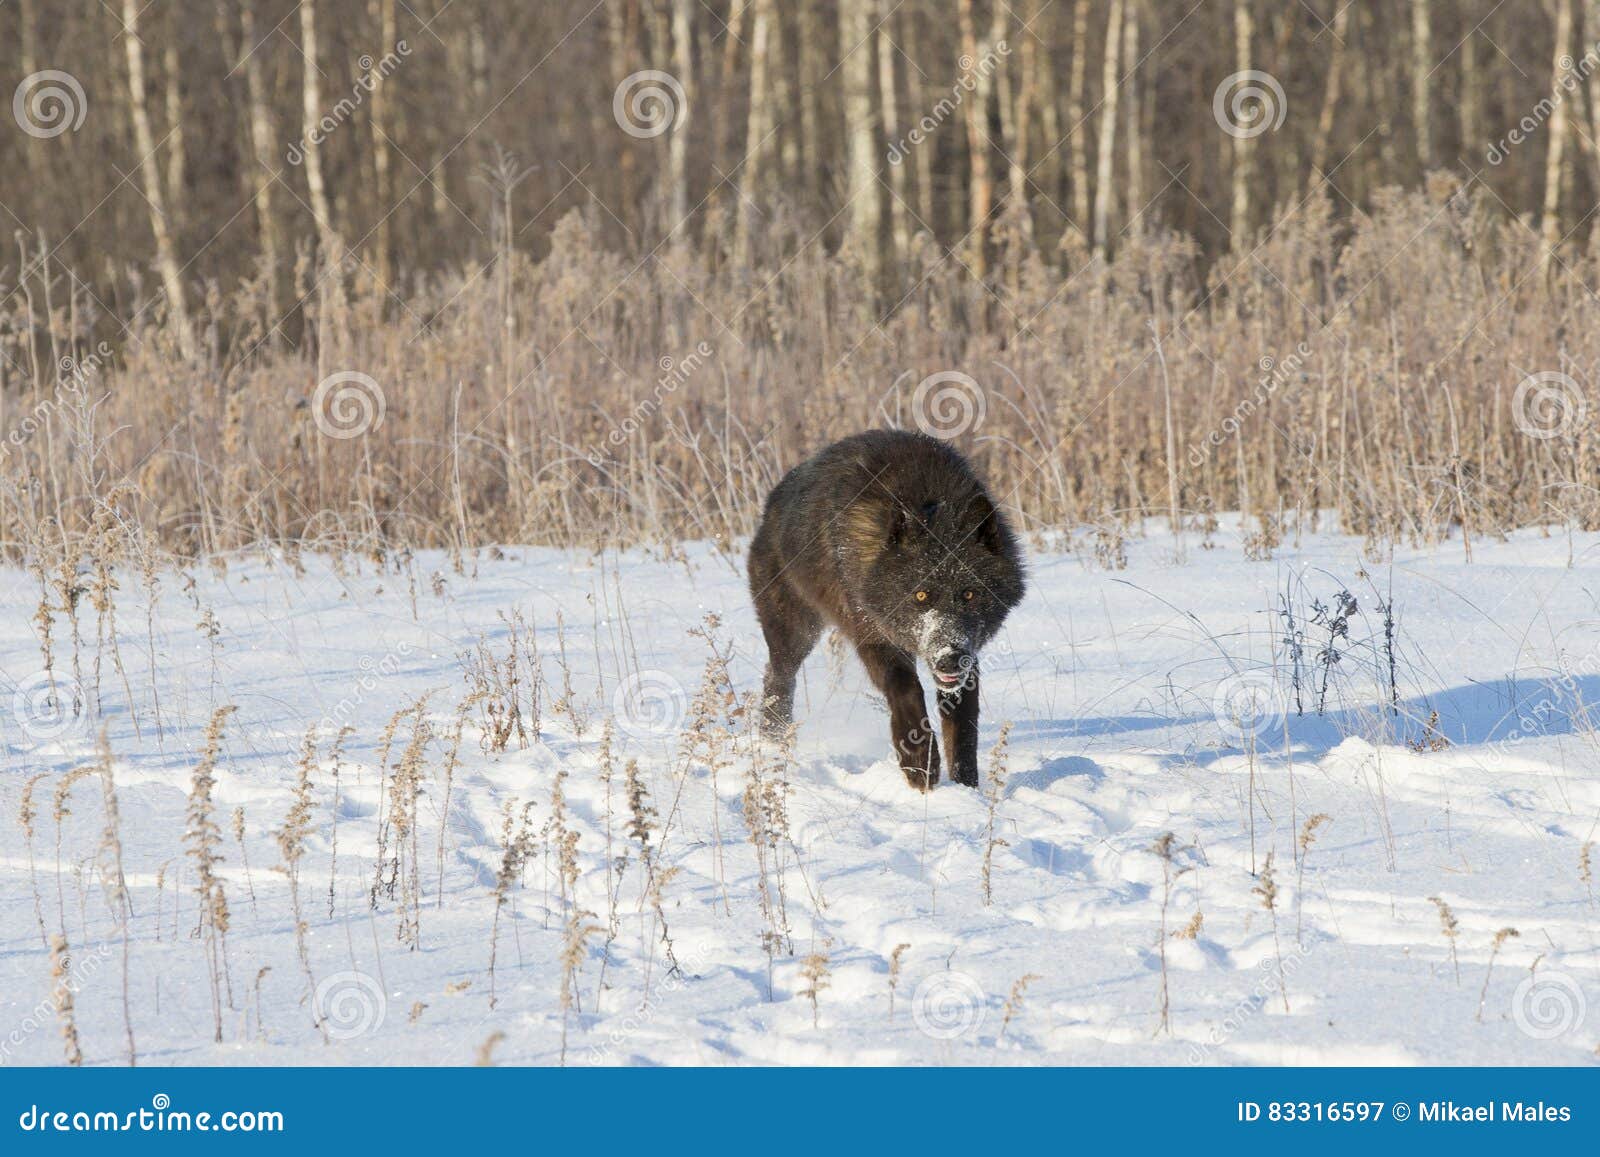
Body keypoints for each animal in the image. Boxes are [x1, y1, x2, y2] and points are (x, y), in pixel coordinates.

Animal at [747, 430, 1025, 789]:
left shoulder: (968, 652)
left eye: (969, 594)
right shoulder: (871, 633)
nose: (950, 659)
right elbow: (905, 688)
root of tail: (772, 503)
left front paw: (966, 787)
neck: (932, 503)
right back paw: (774, 741)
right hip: (794, 631)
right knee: (778, 677)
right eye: (920, 595)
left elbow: (963, 721)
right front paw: (919, 762)